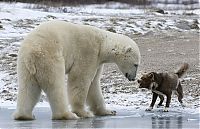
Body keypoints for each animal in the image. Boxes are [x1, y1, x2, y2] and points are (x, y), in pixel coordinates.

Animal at [12, 19, 141, 120]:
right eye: (136, 65)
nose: (133, 78)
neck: (102, 43)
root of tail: (32, 54)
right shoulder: (88, 52)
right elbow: (80, 79)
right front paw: (84, 113)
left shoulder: (98, 61)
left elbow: (94, 85)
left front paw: (109, 111)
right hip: (50, 58)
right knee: (56, 86)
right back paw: (67, 115)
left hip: (25, 65)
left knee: (28, 88)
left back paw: (25, 115)